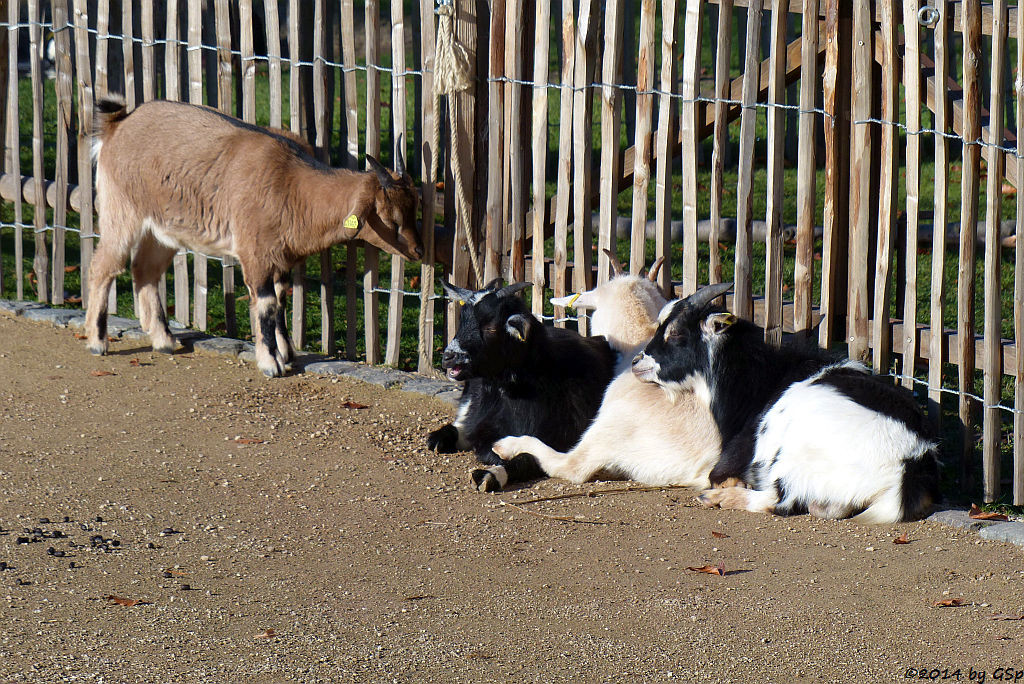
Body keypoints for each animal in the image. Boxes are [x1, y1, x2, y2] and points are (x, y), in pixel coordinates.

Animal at [86, 98, 421, 376]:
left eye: (415, 207)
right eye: (390, 219)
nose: (418, 251)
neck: (293, 186)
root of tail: (118, 125)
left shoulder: (281, 257)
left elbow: (282, 298)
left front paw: (286, 353)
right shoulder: (255, 253)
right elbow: (267, 305)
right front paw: (271, 362)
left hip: (163, 231)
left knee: (145, 270)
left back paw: (163, 340)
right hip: (121, 212)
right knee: (104, 266)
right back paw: (97, 341)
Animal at [425, 278, 614, 491]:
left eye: (491, 327)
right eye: (462, 320)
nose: (448, 357)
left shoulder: (558, 440)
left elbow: (525, 458)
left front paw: (489, 475)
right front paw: (438, 439)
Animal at [630, 282, 942, 524]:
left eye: (677, 333)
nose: (636, 362)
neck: (760, 378)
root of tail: (910, 463)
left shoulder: (736, 456)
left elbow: (720, 474)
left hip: (792, 457)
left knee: (778, 501)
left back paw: (719, 498)